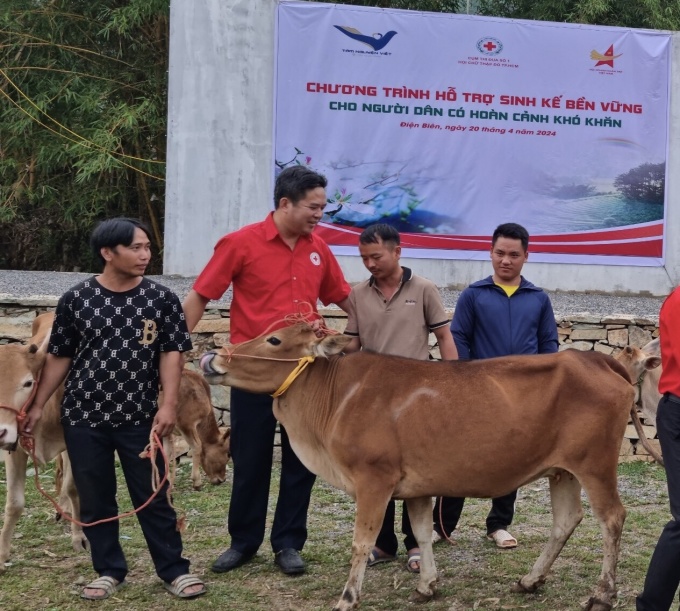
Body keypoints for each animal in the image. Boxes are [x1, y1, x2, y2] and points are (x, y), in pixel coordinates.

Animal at [202, 326, 636, 611]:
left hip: (595, 465)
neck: (336, 395)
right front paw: (427, 585)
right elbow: (424, 534)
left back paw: (602, 594)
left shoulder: (373, 480)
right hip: (563, 471)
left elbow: (361, 542)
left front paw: (347, 598)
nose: (211, 357)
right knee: (566, 520)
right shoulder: (418, 487)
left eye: (274, 340)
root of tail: (593, 357)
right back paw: (530, 581)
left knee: (612, 517)